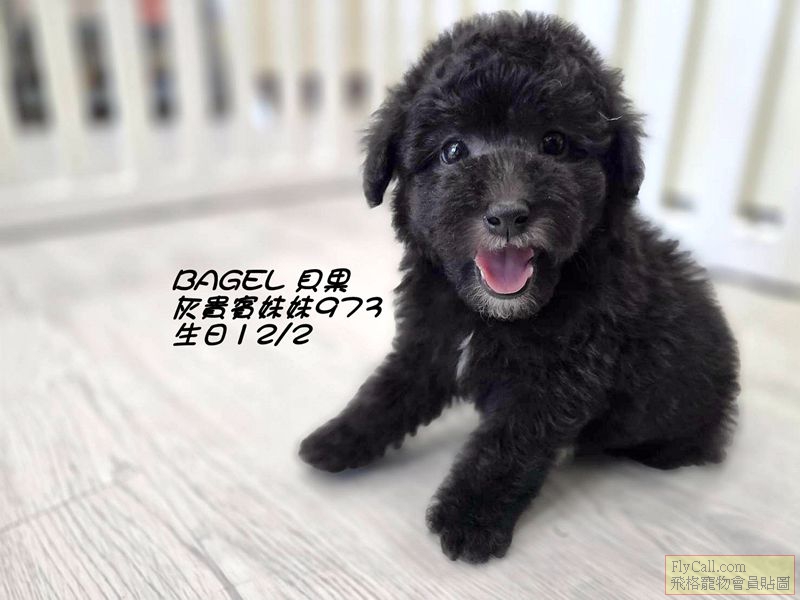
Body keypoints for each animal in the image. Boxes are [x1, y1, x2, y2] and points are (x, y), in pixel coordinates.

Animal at [299, 12, 739, 563]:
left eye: (554, 143)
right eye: (453, 150)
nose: (508, 214)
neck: (487, 314)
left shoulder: (554, 380)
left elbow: (505, 448)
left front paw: (468, 521)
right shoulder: (429, 341)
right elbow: (388, 389)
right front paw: (337, 439)